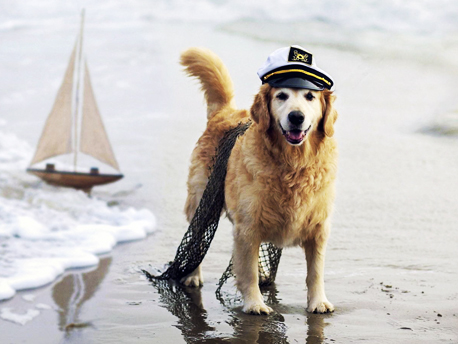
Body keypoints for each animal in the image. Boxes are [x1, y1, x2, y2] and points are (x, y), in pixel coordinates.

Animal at [181, 47, 338, 314]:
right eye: (281, 96)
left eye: (310, 96)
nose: (296, 117)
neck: (293, 164)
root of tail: (224, 112)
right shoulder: (248, 225)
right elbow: (247, 271)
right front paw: (255, 304)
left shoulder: (319, 227)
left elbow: (315, 272)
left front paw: (318, 302)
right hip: (201, 201)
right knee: (196, 241)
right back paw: (192, 275)